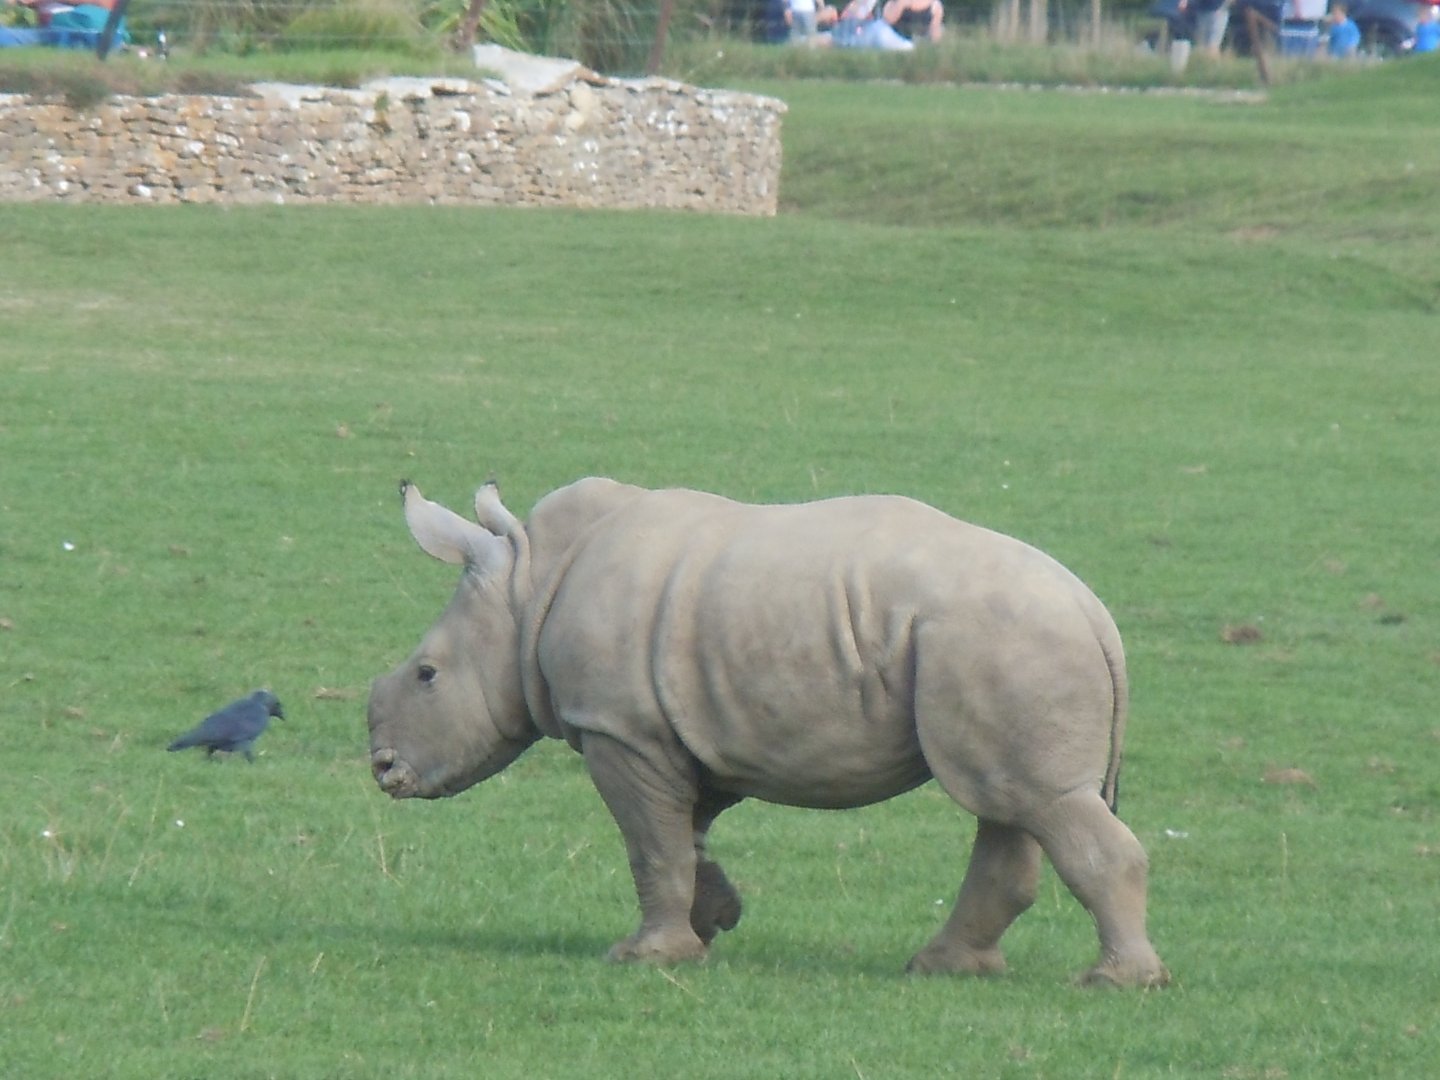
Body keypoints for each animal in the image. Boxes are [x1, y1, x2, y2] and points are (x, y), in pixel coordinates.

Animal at [367, 477, 1169, 988]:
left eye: (427, 676)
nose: (382, 768)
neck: (528, 588)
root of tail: (1094, 611)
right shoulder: (685, 728)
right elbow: (683, 832)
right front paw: (713, 921)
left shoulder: (622, 729)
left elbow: (650, 842)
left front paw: (646, 957)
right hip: (1002, 648)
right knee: (1010, 803)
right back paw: (942, 969)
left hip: (1001, 641)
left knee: (1034, 802)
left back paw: (1114, 983)